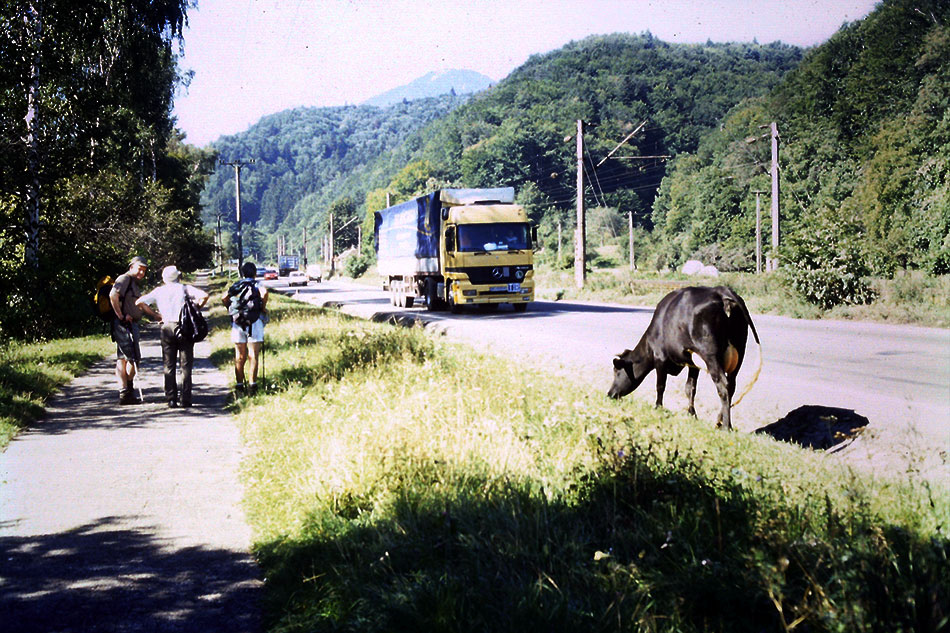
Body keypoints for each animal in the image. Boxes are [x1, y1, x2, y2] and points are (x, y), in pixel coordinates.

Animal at [612, 286, 764, 430]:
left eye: (617, 371)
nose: (610, 394)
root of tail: (721, 290)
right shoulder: (693, 363)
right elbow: (690, 388)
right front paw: (691, 415)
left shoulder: (660, 357)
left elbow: (660, 386)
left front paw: (658, 408)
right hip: (739, 352)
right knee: (731, 385)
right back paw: (719, 422)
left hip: (710, 355)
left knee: (723, 384)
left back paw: (726, 426)